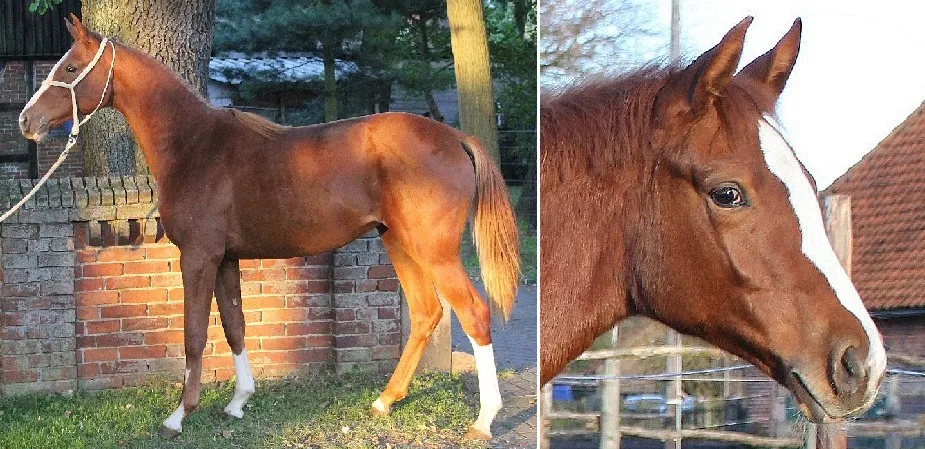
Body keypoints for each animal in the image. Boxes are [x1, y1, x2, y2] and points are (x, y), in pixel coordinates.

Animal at [19, 15, 520, 440]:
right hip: (398, 243)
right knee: (425, 313)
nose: (26, 120)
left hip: (435, 251)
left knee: (474, 312)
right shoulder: (224, 259)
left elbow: (195, 334)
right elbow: (235, 325)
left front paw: (180, 415)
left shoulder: (197, 257)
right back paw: (384, 400)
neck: (193, 145)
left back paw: (484, 419)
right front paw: (239, 401)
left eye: (70, 66)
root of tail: (455, 137)